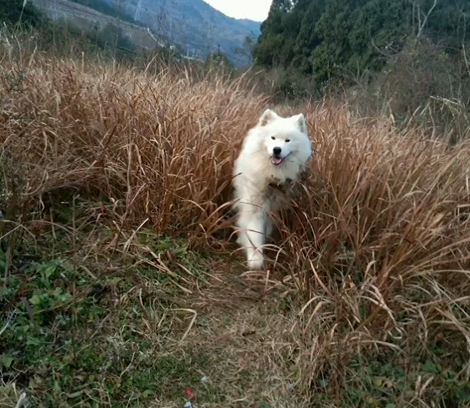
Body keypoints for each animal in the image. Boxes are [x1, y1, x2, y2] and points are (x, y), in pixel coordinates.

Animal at [232, 107, 312, 270]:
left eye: (288, 140)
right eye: (273, 138)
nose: (277, 150)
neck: (271, 175)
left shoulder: (276, 204)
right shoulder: (255, 205)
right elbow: (254, 231)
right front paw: (255, 258)